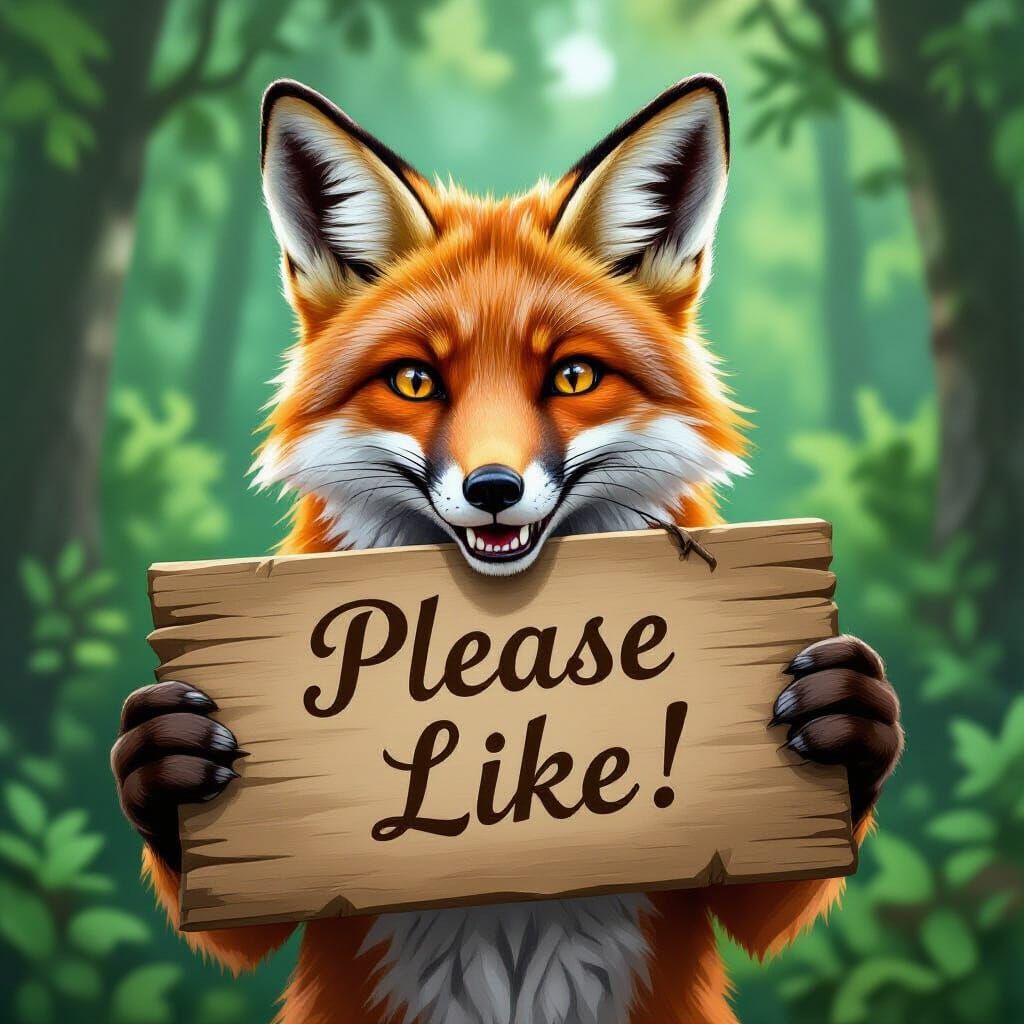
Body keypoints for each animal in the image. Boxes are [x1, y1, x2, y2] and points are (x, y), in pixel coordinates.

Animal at [112, 75, 903, 1024]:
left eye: (572, 376)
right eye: (416, 381)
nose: (494, 488)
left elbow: (765, 902)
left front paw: (847, 712)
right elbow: (241, 931)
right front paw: (167, 754)